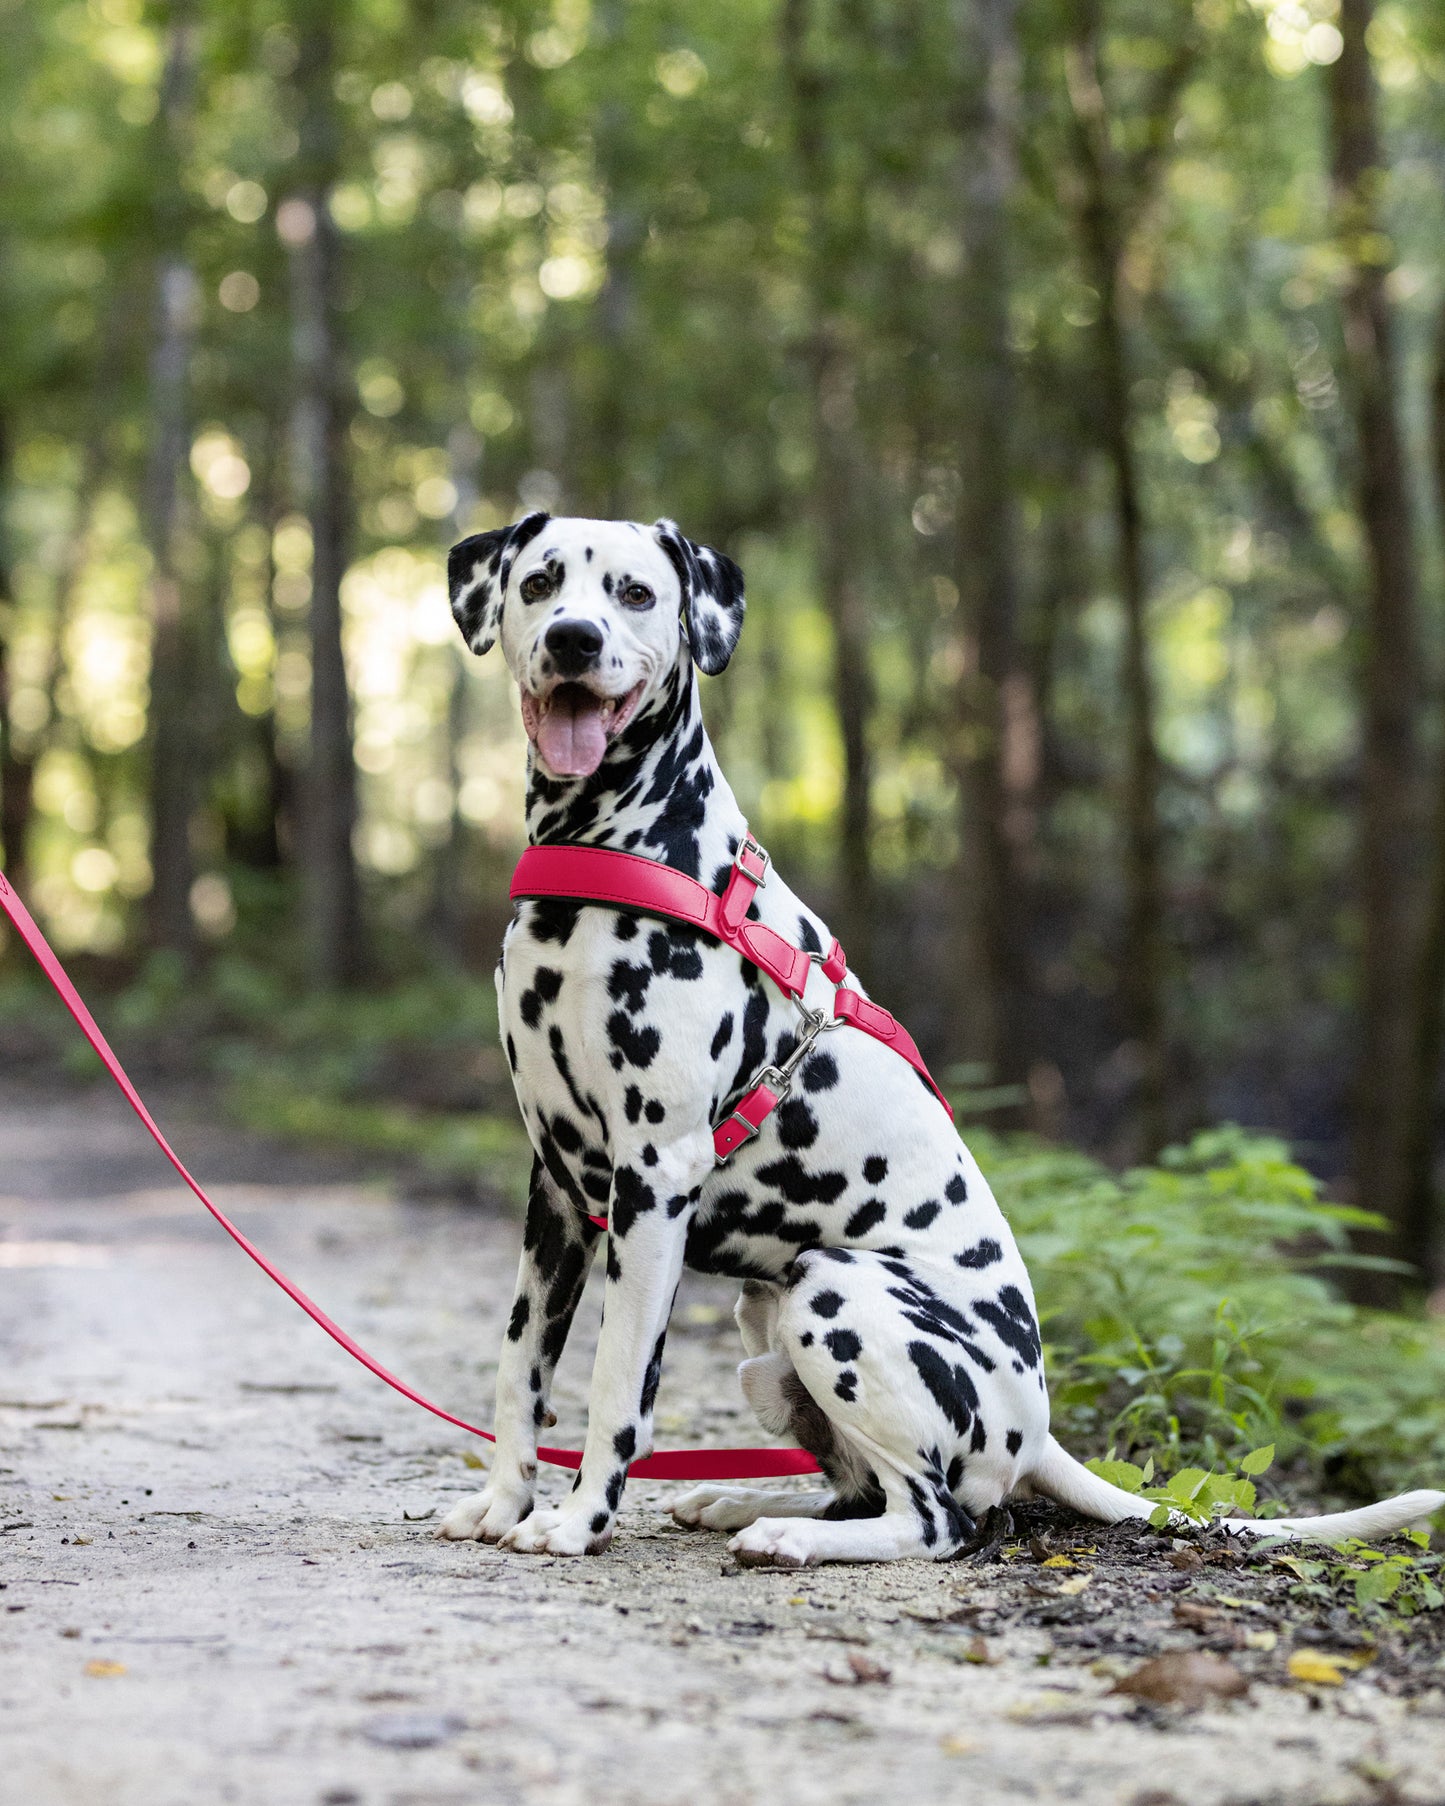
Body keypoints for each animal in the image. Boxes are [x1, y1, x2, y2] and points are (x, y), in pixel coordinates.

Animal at [435, 512, 1445, 1567]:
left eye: (634, 594)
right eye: (541, 582)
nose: (572, 641)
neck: (611, 854)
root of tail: (1039, 1431)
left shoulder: (652, 1179)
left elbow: (616, 1383)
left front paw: (577, 1520)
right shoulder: (557, 1187)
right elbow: (519, 1367)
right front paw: (502, 1503)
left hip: (832, 1290)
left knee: (935, 1520)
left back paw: (786, 1534)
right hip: (766, 1325)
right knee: (857, 1490)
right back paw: (745, 1504)